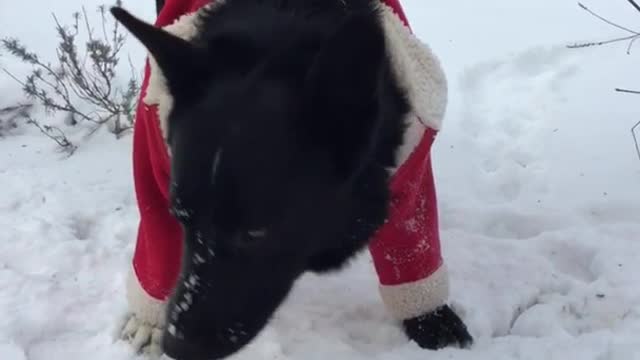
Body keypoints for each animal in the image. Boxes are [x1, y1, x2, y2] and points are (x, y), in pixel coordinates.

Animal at [110, 1, 470, 358]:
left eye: (255, 233)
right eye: (181, 217)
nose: (176, 347)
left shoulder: (410, 164)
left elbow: (411, 247)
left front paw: (432, 321)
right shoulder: (154, 159)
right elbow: (157, 243)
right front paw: (148, 322)